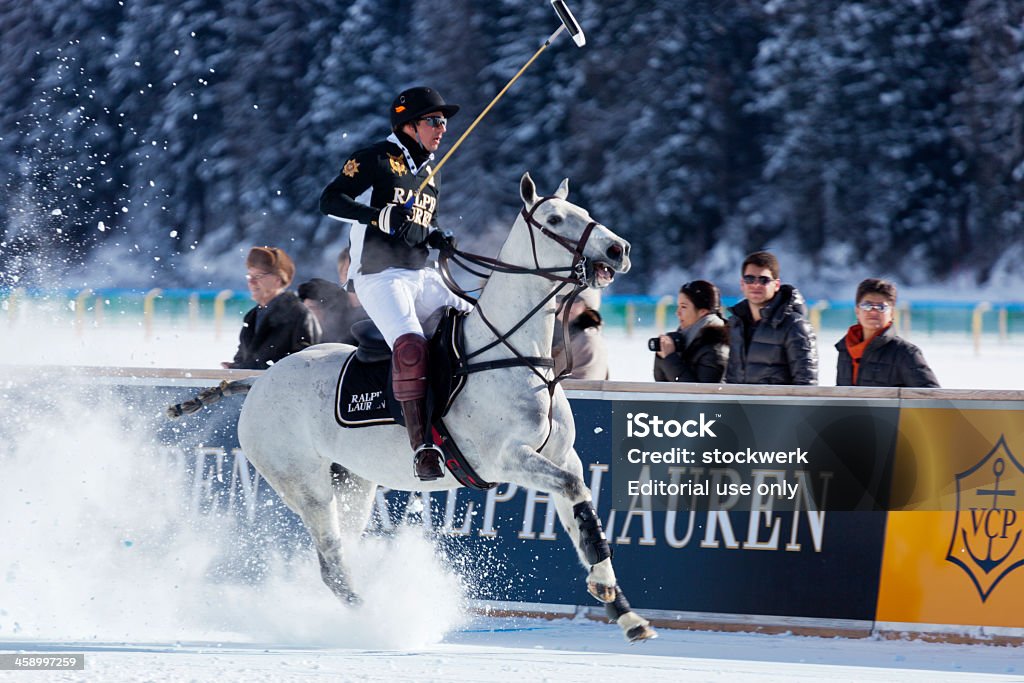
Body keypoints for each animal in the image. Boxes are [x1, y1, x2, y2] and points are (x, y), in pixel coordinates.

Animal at [171, 174, 655, 643]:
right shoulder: (504, 459)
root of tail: (259, 380)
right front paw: (609, 592)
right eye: (554, 219)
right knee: (330, 562)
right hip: (305, 486)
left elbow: (581, 508)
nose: (620, 249)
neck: (513, 352)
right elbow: (574, 490)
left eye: (584, 212)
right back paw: (378, 620)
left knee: (341, 549)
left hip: (353, 482)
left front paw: (622, 609)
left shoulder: (559, 455)